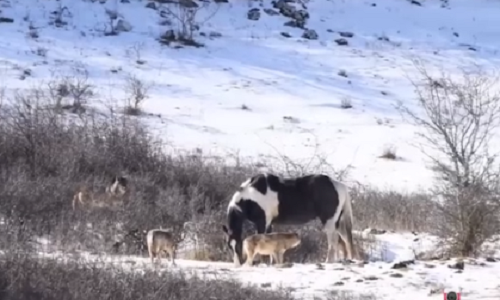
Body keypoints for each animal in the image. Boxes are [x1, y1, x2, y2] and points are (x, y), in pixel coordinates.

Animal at [221, 172, 354, 266]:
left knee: (333, 240)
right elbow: (270, 241)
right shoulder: (269, 224)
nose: (237, 264)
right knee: (345, 239)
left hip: (329, 221)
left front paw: (259, 262)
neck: (251, 195)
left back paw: (329, 261)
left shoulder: (263, 222)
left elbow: (261, 239)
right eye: (229, 246)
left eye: (239, 245)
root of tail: (339, 185)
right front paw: (272, 263)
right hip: (337, 221)